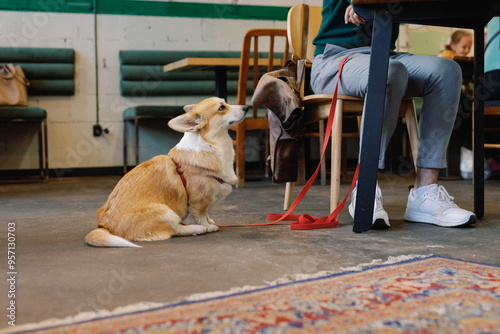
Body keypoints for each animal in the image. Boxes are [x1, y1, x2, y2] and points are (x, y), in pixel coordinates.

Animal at [86, 98, 250, 247]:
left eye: (225, 102)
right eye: (222, 107)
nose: (247, 107)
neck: (213, 143)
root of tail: (104, 226)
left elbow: (207, 213)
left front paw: (210, 221)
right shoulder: (199, 201)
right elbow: (202, 215)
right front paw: (208, 226)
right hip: (166, 211)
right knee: (175, 230)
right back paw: (197, 229)